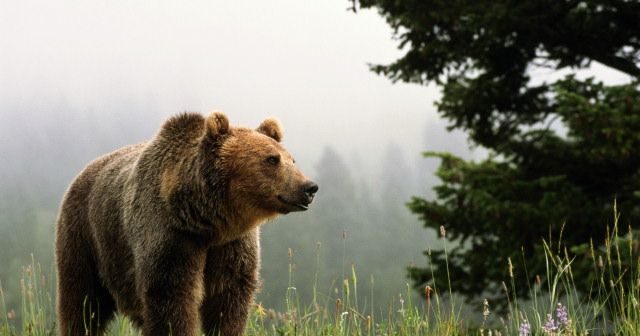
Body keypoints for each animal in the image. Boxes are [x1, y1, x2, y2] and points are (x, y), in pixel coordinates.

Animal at [55, 112, 318, 336]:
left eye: (292, 159)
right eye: (272, 159)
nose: (309, 187)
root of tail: (82, 172)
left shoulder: (231, 246)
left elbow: (228, 299)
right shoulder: (171, 238)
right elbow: (172, 298)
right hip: (85, 237)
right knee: (82, 301)